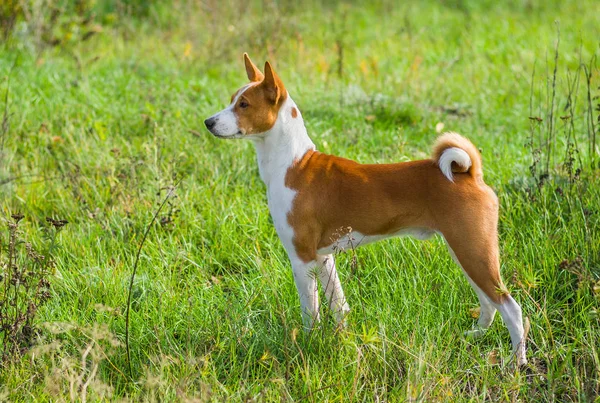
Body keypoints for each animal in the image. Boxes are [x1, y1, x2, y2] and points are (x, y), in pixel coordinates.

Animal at [204, 53, 528, 366]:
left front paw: (306, 346)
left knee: (511, 308)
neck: (293, 164)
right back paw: (476, 335)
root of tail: (469, 173)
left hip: (473, 251)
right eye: (232, 99)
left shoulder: (302, 258)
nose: (208, 122)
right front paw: (343, 343)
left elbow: (311, 315)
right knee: (489, 302)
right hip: (466, 251)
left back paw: (516, 361)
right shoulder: (324, 258)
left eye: (244, 105)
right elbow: (339, 307)